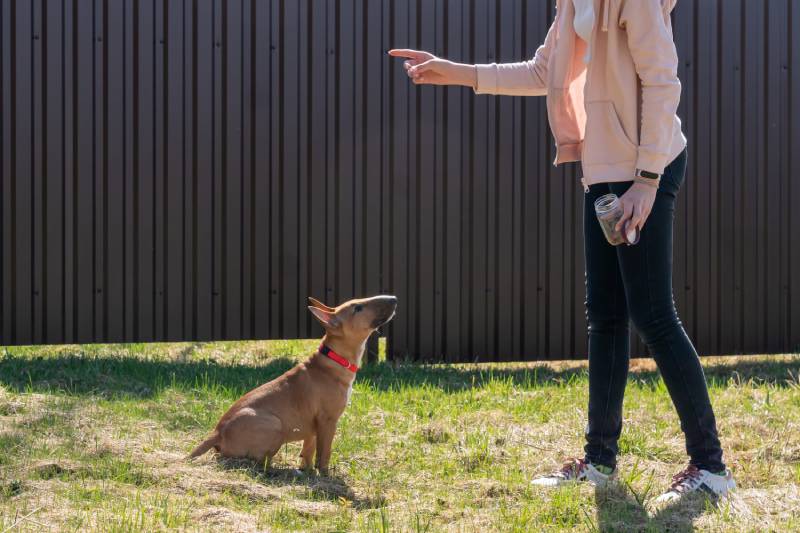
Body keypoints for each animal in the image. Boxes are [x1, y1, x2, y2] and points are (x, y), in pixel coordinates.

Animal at [188, 294, 400, 472]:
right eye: (358, 308)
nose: (394, 298)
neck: (333, 359)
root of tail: (218, 432)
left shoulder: (314, 423)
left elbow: (309, 450)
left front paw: (307, 471)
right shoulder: (328, 421)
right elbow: (324, 453)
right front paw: (325, 475)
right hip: (275, 426)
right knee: (258, 461)